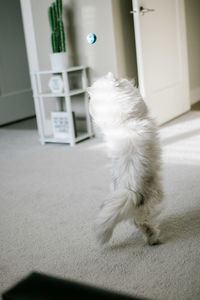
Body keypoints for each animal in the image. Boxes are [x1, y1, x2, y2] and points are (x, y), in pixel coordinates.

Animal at [88, 72, 163, 246]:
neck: (123, 122)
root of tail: (129, 191)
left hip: (133, 210)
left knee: (140, 223)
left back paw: (150, 239)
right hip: (154, 197)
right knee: (148, 220)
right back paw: (155, 238)